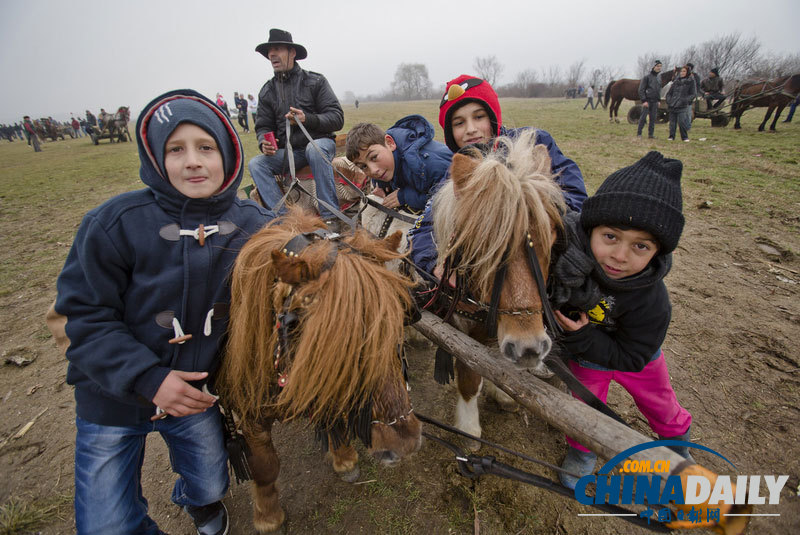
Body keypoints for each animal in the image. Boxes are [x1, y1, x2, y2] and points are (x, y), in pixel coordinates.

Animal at [216, 210, 422, 535]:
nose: (405, 443)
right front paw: (268, 516)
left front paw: (344, 457)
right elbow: (265, 466)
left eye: (400, 317)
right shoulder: (250, 415)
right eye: (336, 341)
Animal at [428, 131, 564, 448]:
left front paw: (501, 391)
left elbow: (494, 362)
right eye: (484, 243)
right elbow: (470, 377)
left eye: (549, 233)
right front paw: (468, 428)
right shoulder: (460, 333)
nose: (529, 348)